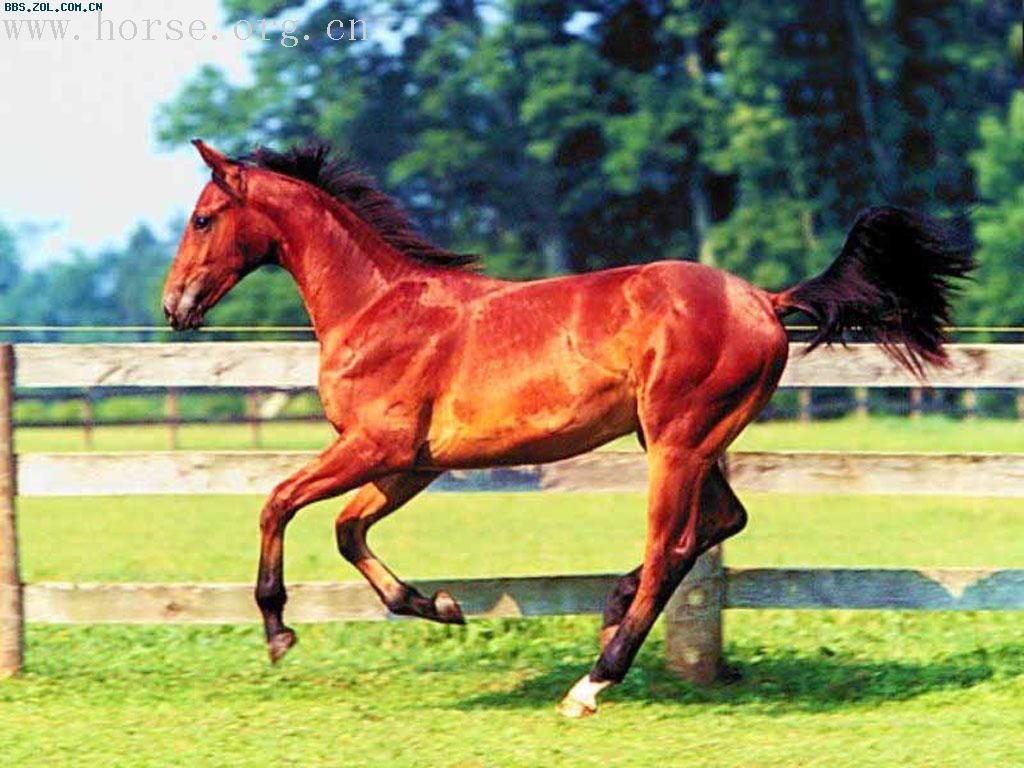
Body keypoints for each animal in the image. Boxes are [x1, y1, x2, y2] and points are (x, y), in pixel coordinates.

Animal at [163, 140, 970, 720]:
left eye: (202, 218)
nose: (174, 306)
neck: (378, 307)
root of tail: (765, 301)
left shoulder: (375, 446)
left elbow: (278, 501)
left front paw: (277, 630)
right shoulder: (410, 464)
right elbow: (346, 530)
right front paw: (437, 606)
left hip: (676, 442)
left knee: (672, 544)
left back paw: (593, 681)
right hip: (687, 441)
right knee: (718, 524)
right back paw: (611, 613)